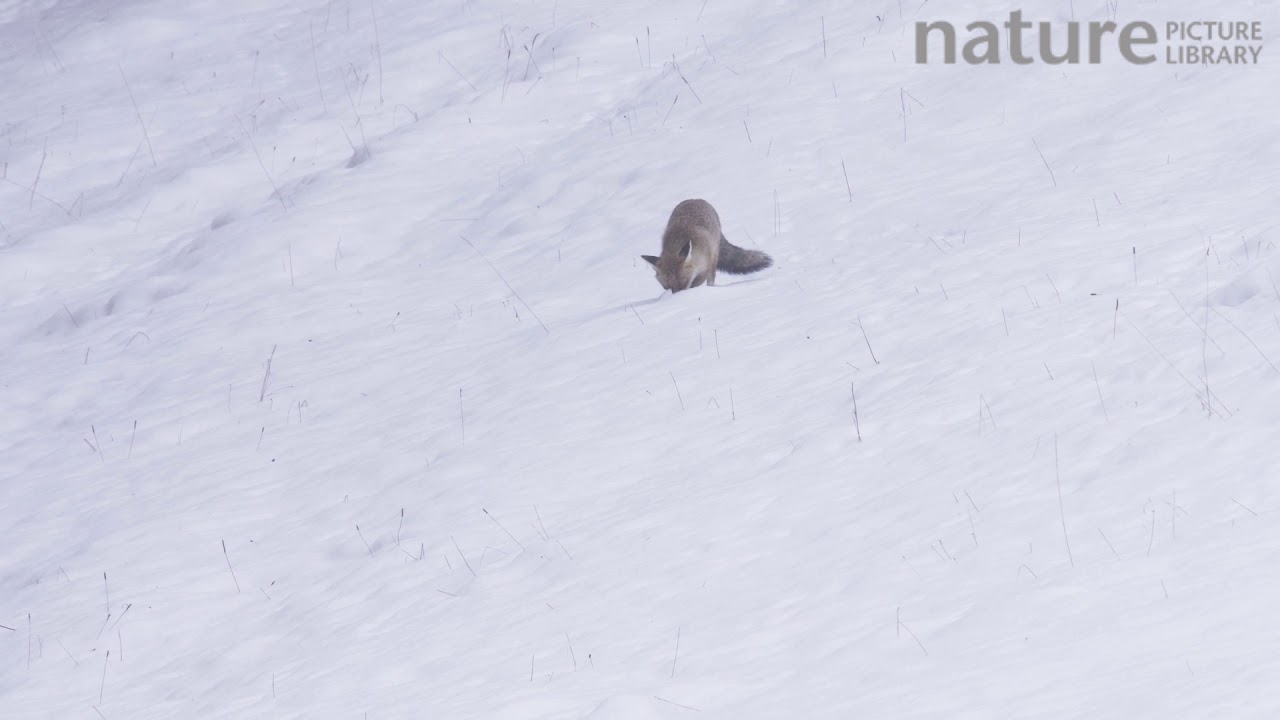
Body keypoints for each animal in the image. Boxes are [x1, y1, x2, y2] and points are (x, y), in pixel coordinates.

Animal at [641, 199, 773, 293]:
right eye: (667, 286)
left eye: (683, 282)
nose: (678, 297)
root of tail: (695, 199)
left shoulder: (705, 267)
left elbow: (697, 283)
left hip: (713, 258)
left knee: (711, 280)